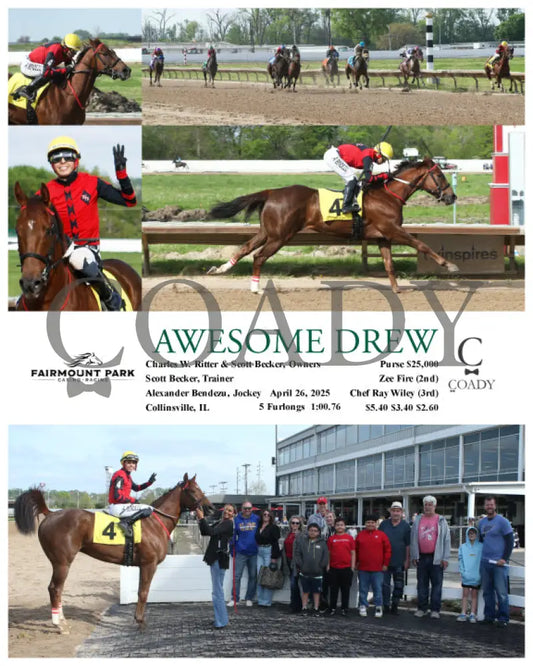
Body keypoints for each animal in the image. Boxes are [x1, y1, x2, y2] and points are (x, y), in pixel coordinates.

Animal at [14, 474, 213, 631]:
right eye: (193, 490)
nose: (210, 508)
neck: (154, 523)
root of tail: (50, 514)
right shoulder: (149, 564)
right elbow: (143, 592)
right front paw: (140, 621)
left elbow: (141, 591)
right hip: (62, 562)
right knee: (55, 588)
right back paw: (59, 625)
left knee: (58, 589)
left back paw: (62, 620)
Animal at [207, 158, 459, 294]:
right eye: (439, 174)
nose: (452, 197)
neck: (388, 195)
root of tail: (271, 192)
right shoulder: (393, 230)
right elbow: (421, 244)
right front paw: (449, 265)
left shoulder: (382, 237)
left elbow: (389, 265)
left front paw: (397, 289)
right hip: (280, 236)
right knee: (258, 257)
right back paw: (255, 288)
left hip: (267, 232)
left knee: (245, 248)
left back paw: (220, 269)